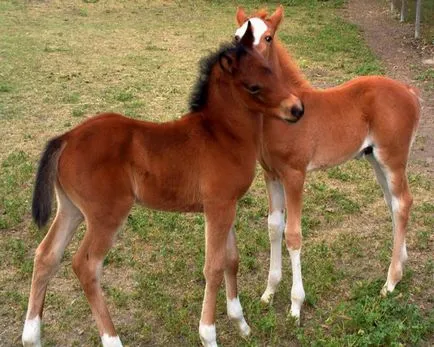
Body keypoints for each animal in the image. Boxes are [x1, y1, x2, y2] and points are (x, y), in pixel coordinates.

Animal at [21, 24, 306, 347]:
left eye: (272, 71)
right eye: (253, 86)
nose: (297, 109)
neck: (221, 134)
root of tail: (66, 137)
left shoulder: (225, 205)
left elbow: (231, 260)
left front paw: (241, 324)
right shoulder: (218, 207)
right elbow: (213, 267)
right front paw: (209, 334)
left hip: (71, 209)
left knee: (46, 256)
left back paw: (31, 336)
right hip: (106, 215)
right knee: (85, 266)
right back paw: (112, 339)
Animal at [234, 6, 420, 324]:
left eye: (268, 37)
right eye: (236, 38)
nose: (249, 74)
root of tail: (409, 91)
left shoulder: (294, 175)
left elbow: (293, 234)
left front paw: (295, 306)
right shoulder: (271, 175)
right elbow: (273, 227)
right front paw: (269, 292)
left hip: (393, 159)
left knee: (402, 202)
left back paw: (391, 281)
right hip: (375, 160)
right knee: (394, 204)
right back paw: (401, 264)